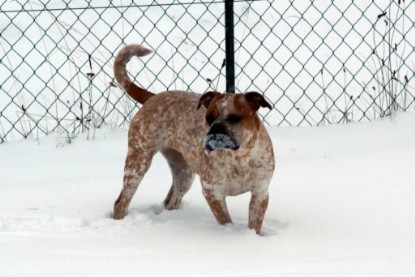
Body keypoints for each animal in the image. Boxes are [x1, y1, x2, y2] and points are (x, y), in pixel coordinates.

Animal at [113, 43, 276, 233]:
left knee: (171, 201)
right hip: (137, 164)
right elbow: (226, 221)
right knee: (120, 203)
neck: (239, 158)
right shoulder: (212, 191)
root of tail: (153, 96)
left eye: (235, 118)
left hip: (184, 174)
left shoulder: (260, 192)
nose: (216, 128)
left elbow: (255, 224)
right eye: (209, 117)